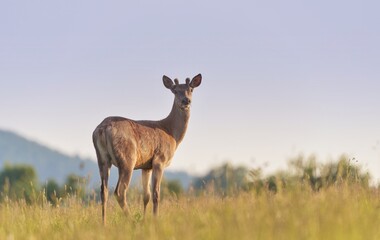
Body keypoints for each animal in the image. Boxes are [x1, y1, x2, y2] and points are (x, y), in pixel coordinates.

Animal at [92, 73, 202, 225]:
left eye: (191, 89)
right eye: (174, 91)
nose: (186, 101)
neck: (171, 133)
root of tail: (103, 128)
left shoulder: (146, 166)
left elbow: (146, 196)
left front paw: (145, 220)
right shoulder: (159, 160)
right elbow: (156, 194)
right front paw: (155, 220)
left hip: (102, 158)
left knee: (104, 191)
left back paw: (104, 224)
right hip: (127, 158)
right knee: (120, 191)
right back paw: (131, 221)